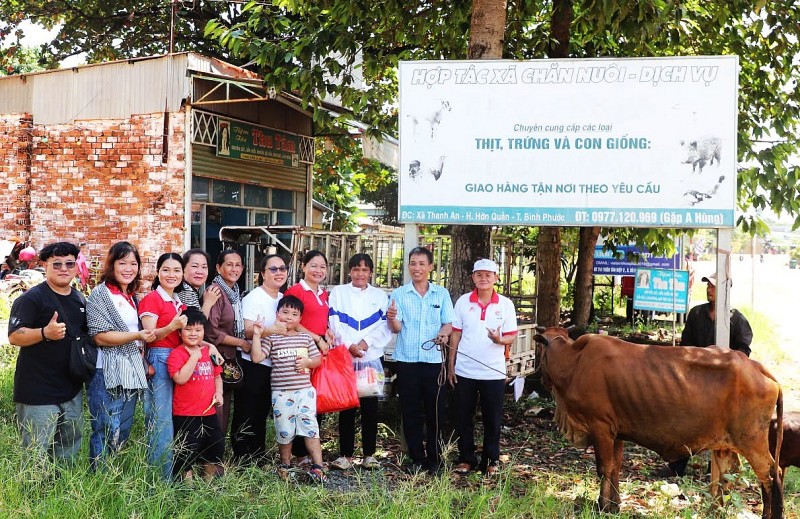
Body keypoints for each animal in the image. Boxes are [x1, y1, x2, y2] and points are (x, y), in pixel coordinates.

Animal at [536, 328, 784, 516]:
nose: (539, 378)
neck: (574, 362)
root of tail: (756, 367)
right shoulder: (617, 433)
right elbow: (615, 468)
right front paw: (615, 506)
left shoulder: (601, 428)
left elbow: (604, 468)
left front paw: (602, 506)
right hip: (725, 444)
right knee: (727, 476)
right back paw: (715, 511)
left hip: (751, 440)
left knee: (771, 473)